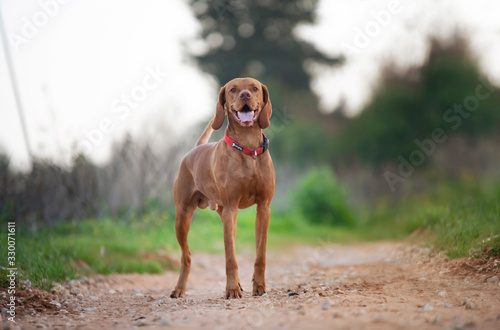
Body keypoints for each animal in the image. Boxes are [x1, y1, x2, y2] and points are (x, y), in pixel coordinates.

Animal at [170, 77, 276, 300]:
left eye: (254, 88)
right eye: (233, 89)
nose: (245, 95)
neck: (248, 149)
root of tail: (195, 149)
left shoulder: (263, 208)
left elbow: (260, 254)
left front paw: (259, 286)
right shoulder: (230, 207)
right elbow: (230, 257)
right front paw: (232, 289)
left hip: (224, 213)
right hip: (183, 216)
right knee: (186, 256)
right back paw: (179, 288)